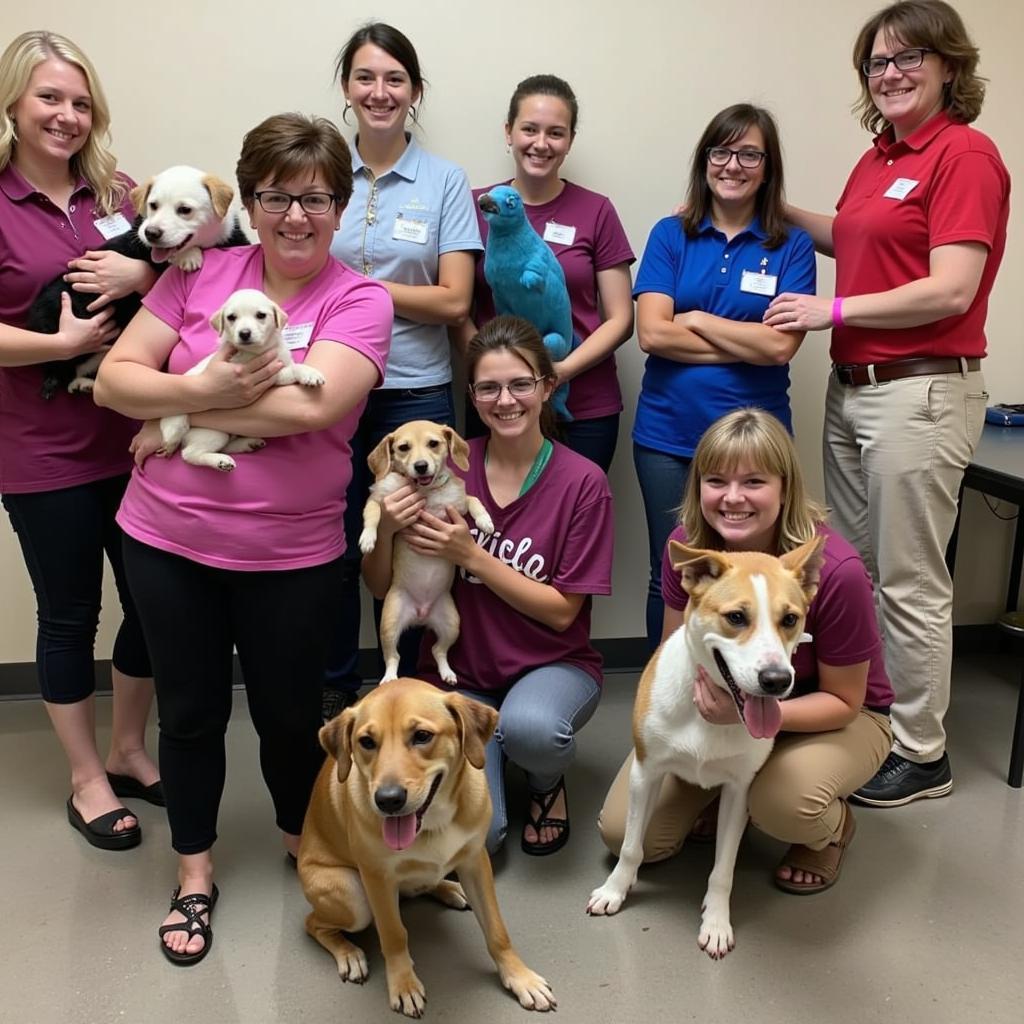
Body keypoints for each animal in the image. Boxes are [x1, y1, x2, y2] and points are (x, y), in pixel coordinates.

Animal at [25, 162, 249, 395]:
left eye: (185, 210)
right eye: (153, 205)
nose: (151, 233)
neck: (210, 241)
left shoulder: (231, 236)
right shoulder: (140, 245)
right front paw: (189, 256)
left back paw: (83, 383)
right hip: (53, 314)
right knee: (57, 361)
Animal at [161, 288, 325, 471]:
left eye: (261, 315)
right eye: (231, 317)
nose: (244, 333)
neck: (257, 351)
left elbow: (291, 365)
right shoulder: (262, 376)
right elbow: (291, 369)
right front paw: (309, 374)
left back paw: (248, 444)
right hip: (214, 432)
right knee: (189, 453)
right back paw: (219, 460)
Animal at [299, 679, 557, 1015]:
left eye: (422, 736)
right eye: (366, 741)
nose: (388, 800)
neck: (434, 823)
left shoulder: (475, 862)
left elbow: (497, 930)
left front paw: (519, 976)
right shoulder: (377, 880)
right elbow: (394, 934)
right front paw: (404, 984)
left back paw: (450, 888)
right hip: (354, 898)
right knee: (313, 923)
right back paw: (349, 953)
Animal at [358, 419, 493, 684]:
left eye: (433, 443)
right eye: (403, 447)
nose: (421, 466)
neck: (425, 492)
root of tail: (420, 615)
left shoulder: (457, 505)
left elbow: (474, 500)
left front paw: (485, 521)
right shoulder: (378, 501)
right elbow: (373, 515)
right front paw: (368, 538)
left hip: (452, 623)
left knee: (437, 650)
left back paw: (447, 672)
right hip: (389, 623)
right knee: (394, 657)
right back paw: (389, 678)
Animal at [589, 540, 819, 954]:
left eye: (790, 619)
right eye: (737, 617)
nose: (776, 680)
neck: (709, 713)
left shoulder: (739, 792)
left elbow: (723, 869)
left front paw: (716, 921)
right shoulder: (645, 773)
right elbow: (630, 845)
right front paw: (615, 890)